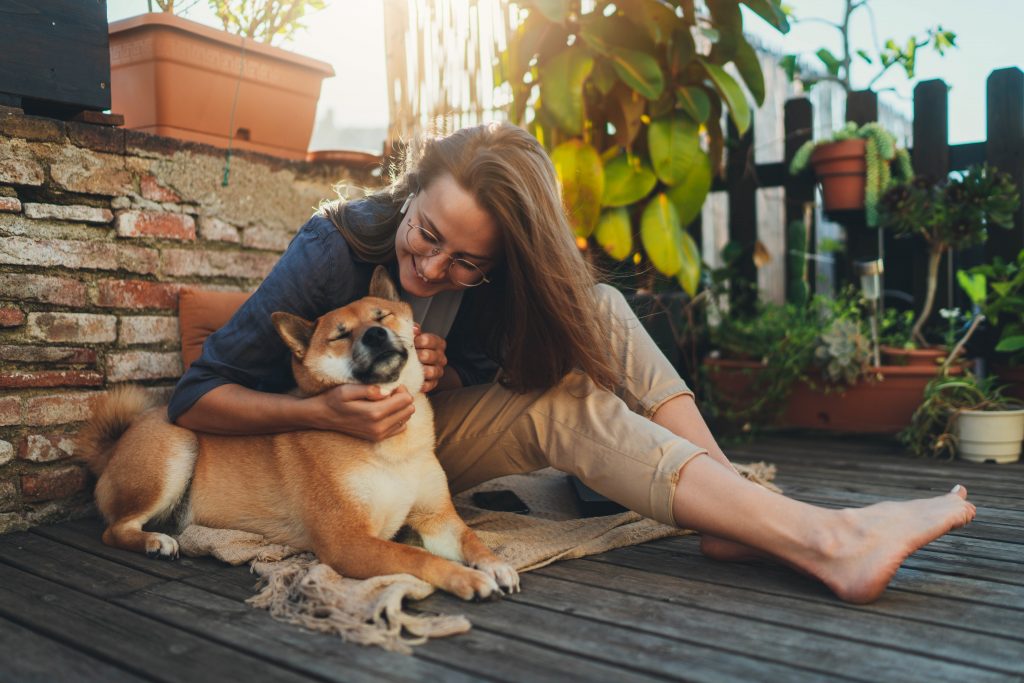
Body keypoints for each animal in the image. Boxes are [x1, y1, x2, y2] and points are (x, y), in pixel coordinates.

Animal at [75, 266, 520, 598]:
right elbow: (419, 559)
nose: (375, 335)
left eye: (381, 317)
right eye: (341, 334)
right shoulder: (348, 542)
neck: (392, 445)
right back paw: (154, 542)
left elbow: (471, 539)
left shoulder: (436, 517)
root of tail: (115, 447)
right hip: (176, 448)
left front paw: (494, 563)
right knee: (114, 529)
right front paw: (466, 578)